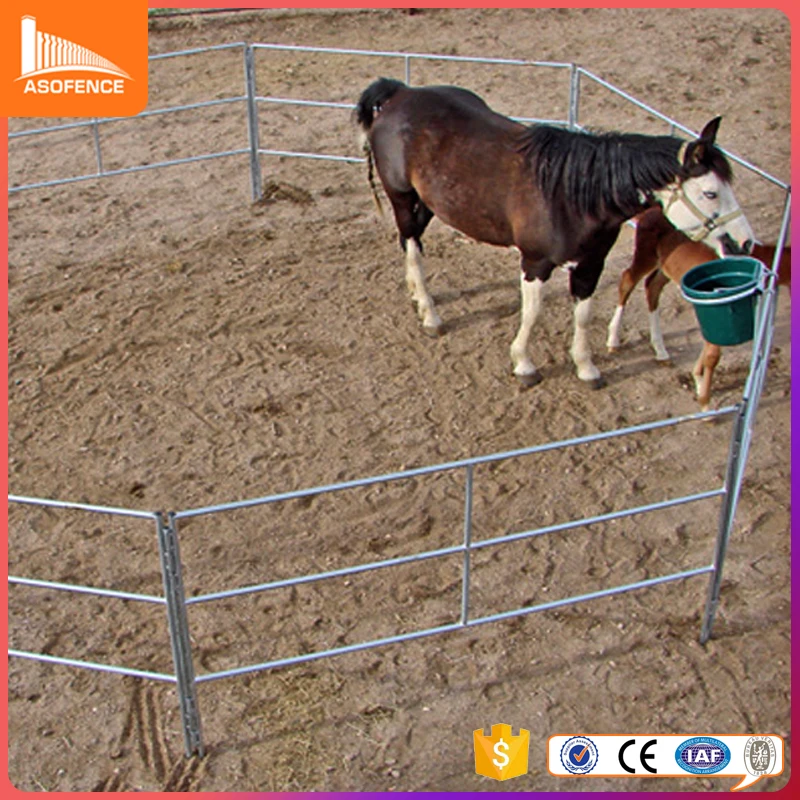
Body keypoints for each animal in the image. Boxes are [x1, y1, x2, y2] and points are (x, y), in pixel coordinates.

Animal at [355, 77, 755, 388]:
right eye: (710, 192)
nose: (744, 242)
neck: (572, 193)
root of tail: (400, 94)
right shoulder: (535, 262)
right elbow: (532, 313)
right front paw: (524, 364)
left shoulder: (590, 266)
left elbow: (584, 315)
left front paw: (586, 367)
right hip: (402, 198)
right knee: (411, 243)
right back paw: (429, 313)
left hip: (431, 203)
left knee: (412, 241)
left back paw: (416, 294)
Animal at [605, 206, 790, 409]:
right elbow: (713, 355)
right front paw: (705, 402)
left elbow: (709, 346)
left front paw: (698, 383)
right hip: (646, 255)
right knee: (627, 280)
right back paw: (613, 341)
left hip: (666, 266)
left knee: (652, 287)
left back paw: (661, 351)